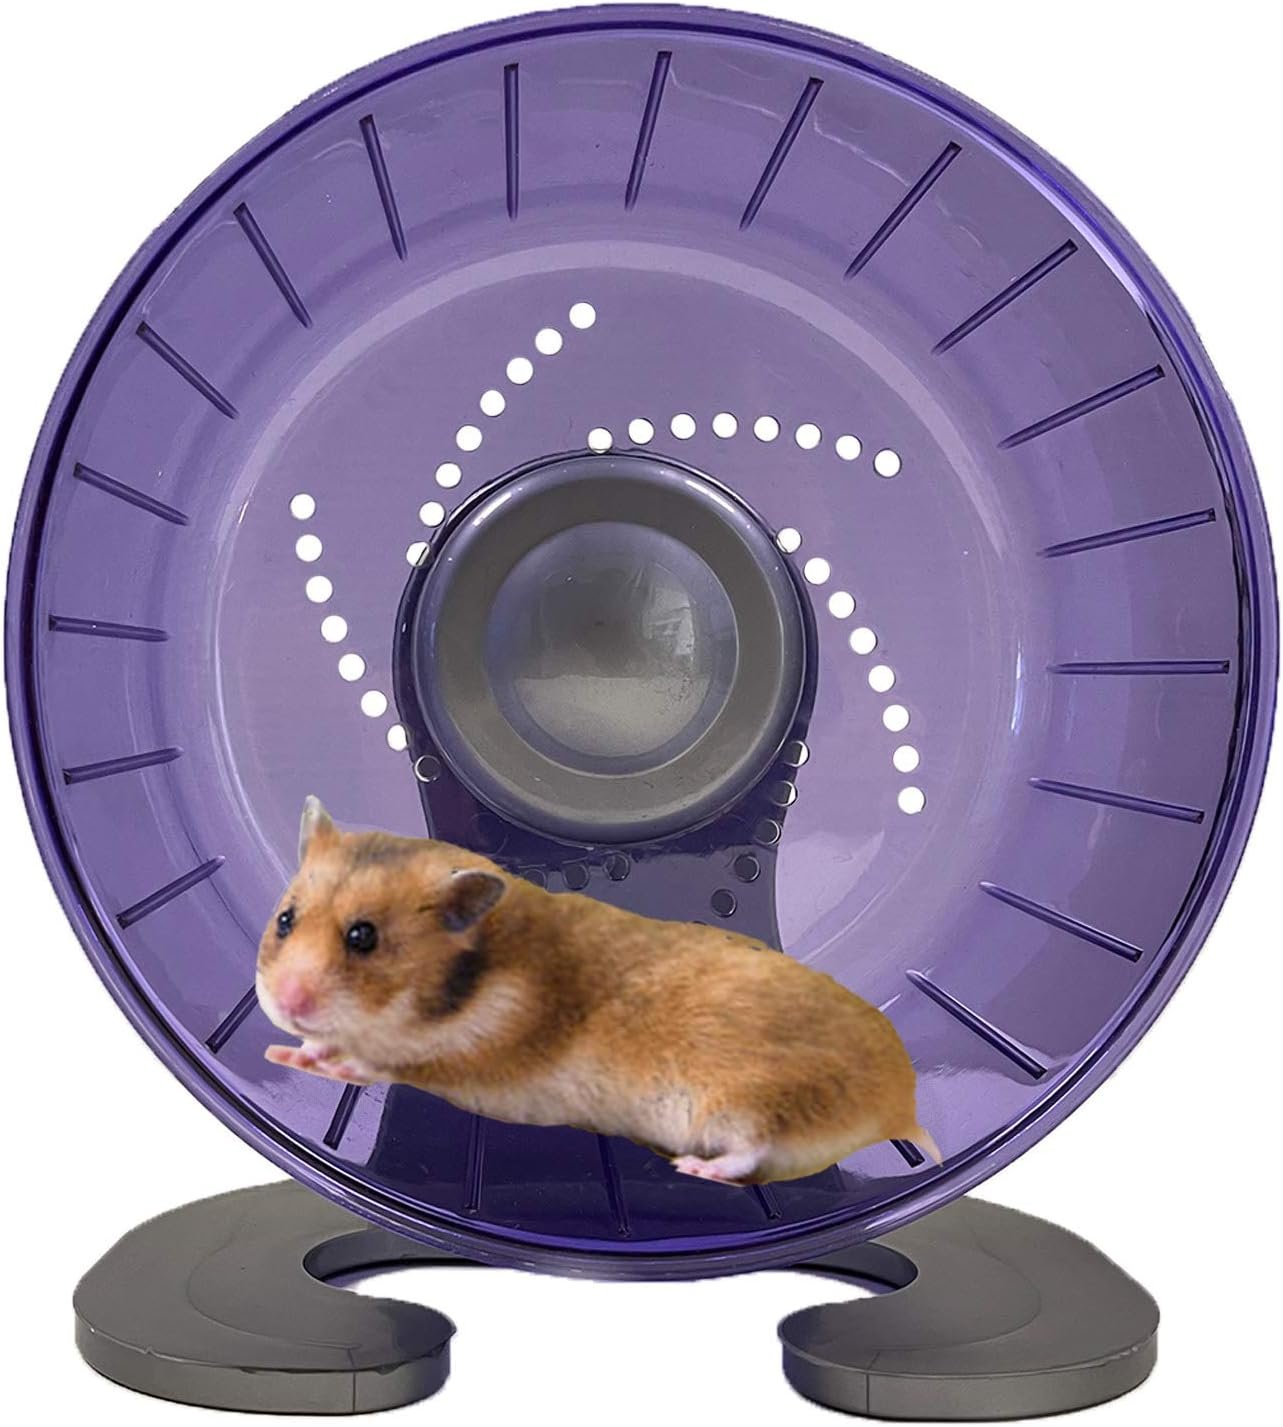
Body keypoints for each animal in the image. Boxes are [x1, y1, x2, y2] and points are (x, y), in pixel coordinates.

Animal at [256, 797, 940, 1185]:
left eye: (363, 937)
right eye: (285, 919)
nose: (286, 1004)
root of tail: (900, 1105)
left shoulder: (471, 1052)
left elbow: (376, 1064)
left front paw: (300, 1057)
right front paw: (286, 1051)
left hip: (748, 1101)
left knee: (752, 1155)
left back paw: (693, 1167)